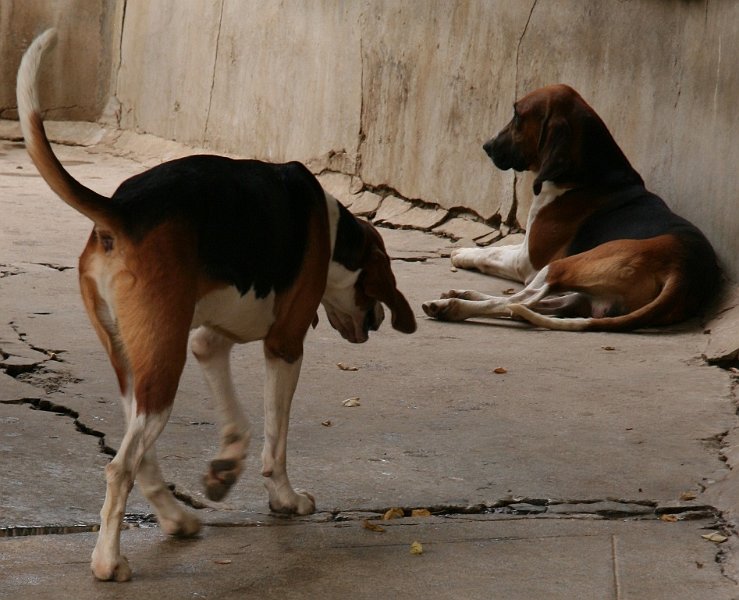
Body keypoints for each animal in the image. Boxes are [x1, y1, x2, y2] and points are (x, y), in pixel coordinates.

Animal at [15, 29, 416, 580]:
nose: (376, 321)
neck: (336, 230)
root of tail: (123, 210)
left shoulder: (209, 342)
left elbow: (238, 421)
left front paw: (224, 470)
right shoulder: (285, 345)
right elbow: (274, 439)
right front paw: (285, 499)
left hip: (136, 362)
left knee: (142, 458)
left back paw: (176, 518)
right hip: (163, 364)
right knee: (121, 465)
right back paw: (108, 560)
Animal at [424, 83, 720, 332]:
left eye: (517, 116)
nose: (487, 146)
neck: (586, 175)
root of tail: (685, 271)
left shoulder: (529, 261)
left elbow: (494, 255)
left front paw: (463, 254)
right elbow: (500, 248)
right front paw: (465, 252)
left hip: (562, 266)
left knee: (520, 300)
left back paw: (454, 306)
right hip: (585, 295)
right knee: (531, 305)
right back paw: (463, 296)